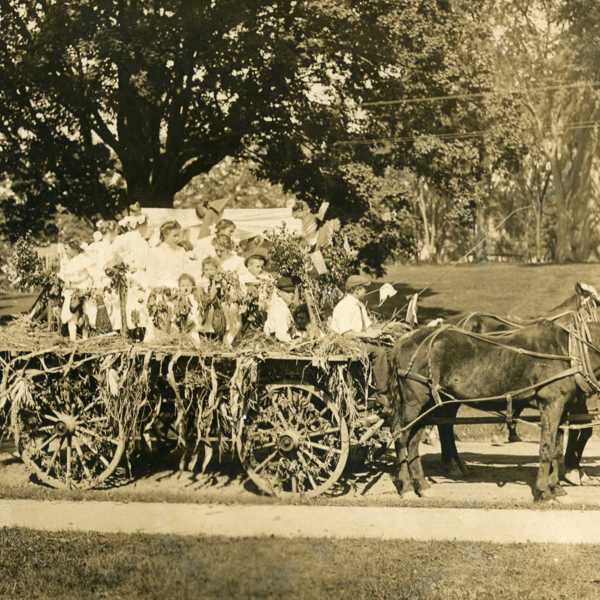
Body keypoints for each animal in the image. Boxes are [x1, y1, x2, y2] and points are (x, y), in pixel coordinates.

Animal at [390, 318, 600, 502]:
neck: (568, 351)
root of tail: (403, 341)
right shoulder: (551, 404)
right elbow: (546, 448)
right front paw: (543, 492)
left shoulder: (562, 408)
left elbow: (556, 450)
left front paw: (556, 488)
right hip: (414, 401)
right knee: (401, 437)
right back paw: (407, 487)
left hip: (428, 404)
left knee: (414, 441)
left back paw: (423, 486)